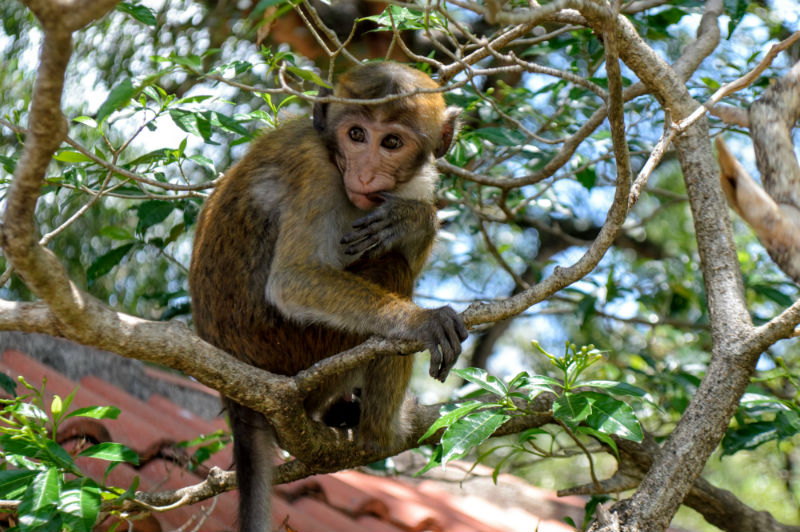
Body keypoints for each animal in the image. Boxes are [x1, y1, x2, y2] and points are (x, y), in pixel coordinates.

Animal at [188, 63, 468, 532]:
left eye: (391, 142)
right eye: (356, 134)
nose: (365, 174)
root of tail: (239, 402)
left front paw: (412, 218)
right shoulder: (314, 170)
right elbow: (292, 281)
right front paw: (420, 321)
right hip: (298, 354)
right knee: (393, 270)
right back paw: (383, 431)